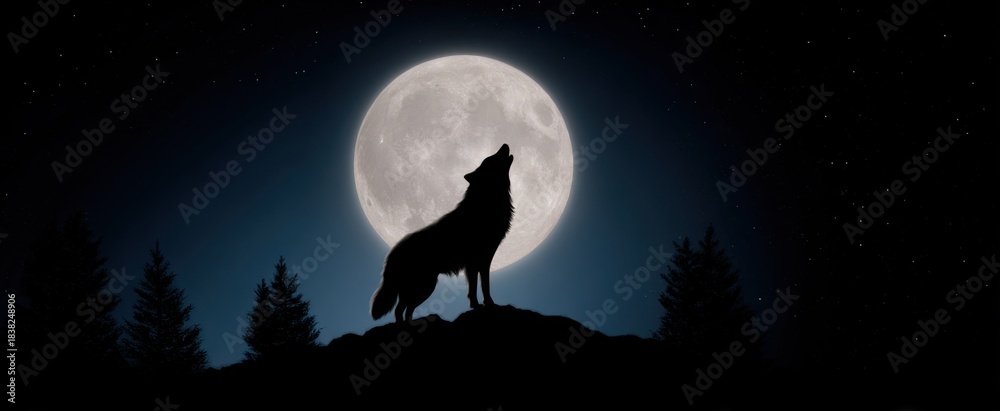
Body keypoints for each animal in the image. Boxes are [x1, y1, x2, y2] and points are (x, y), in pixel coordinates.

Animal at [371, 144, 515, 322]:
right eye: (490, 159)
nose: (505, 144)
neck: (485, 203)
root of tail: (392, 253)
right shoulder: (475, 261)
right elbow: (480, 287)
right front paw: (484, 305)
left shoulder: (483, 260)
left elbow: (481, 286)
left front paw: (484, 304)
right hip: (424, 287)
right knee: (399, 310)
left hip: (424, 288)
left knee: (405, 310)